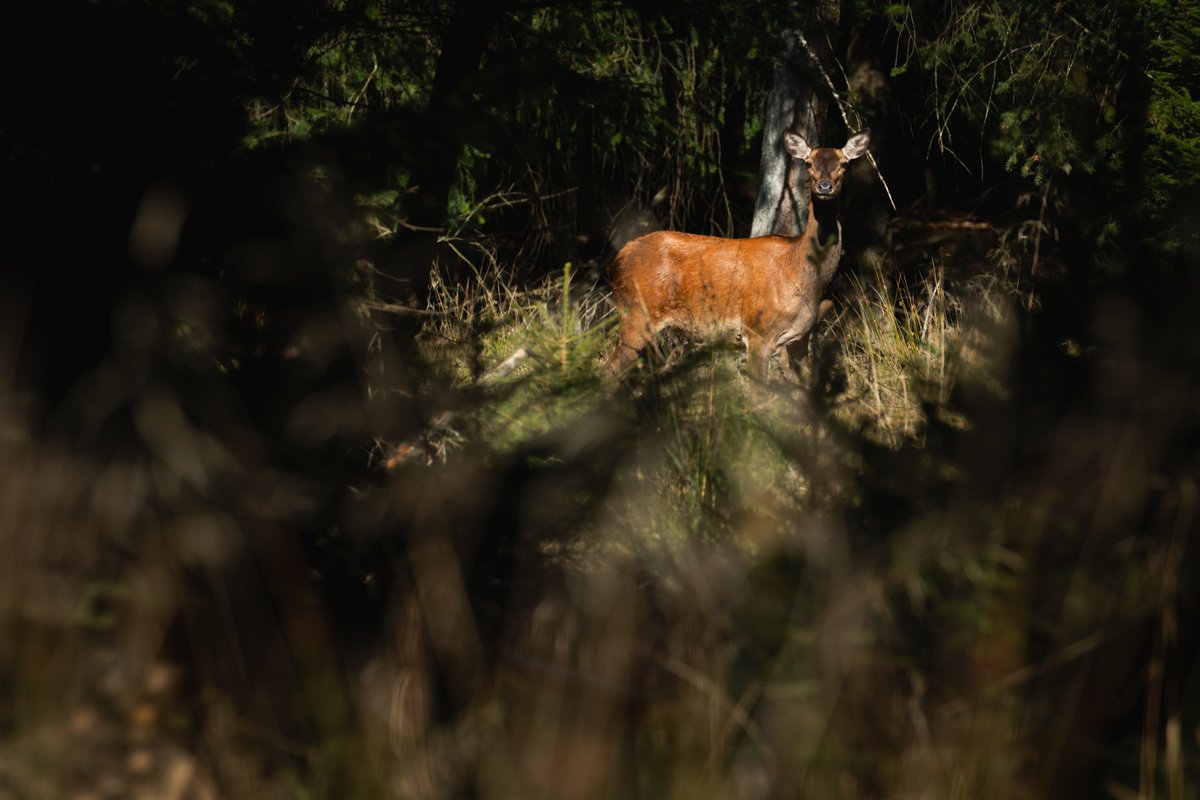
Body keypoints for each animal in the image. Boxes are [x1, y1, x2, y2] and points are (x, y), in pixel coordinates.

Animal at [606, 129, 871, 380]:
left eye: (844, 163)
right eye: (808, 162)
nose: (824, 186)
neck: (807, 279)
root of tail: (618, 258)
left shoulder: (801, 337)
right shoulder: (757, 330)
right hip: (637, 314)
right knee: (608, 369)